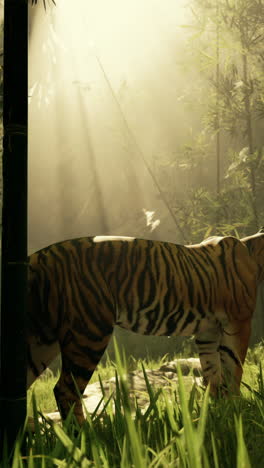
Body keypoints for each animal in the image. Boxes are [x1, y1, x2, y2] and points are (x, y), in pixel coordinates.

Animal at [27, 228, 264, 424]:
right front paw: (237, 409)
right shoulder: (238, 322)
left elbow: (213, 371)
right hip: (89, 331)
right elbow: (233, 367)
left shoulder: (208, 330)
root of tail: (39, 257)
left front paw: (219, 411)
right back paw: (86, 435)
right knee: (65, 390)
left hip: (41, 342)